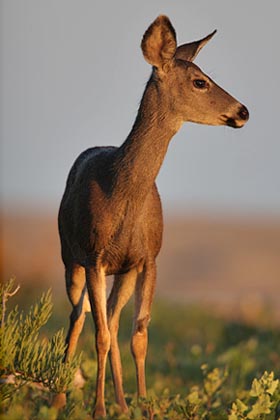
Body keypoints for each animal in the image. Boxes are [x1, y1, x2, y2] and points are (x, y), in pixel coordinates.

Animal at [55, 14, 248, 418]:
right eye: (200, 81)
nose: (243, 111)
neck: (122, 192)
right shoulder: (94, 256)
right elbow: (99, 334)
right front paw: (98, 409)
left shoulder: (147, 258)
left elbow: (138, 335)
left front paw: (142, 406)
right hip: (70, 258)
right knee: (78, 318)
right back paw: (60, 397)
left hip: (121, 271)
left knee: (111, 320)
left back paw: (121, 402)